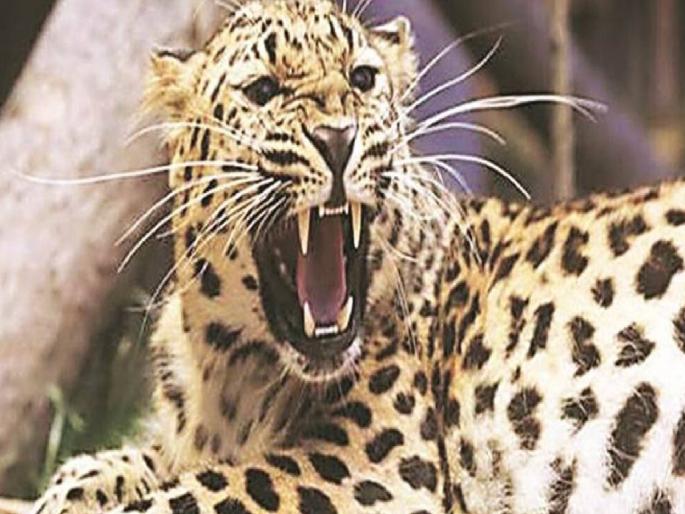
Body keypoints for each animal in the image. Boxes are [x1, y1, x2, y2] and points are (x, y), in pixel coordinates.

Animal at [29, 0, 685, 513]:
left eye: (363, 78)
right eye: (263, 90)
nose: (337, 136)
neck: (227, 373)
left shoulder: (378, 465)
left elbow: (201, 491)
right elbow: (129, 464)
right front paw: (75, 484)